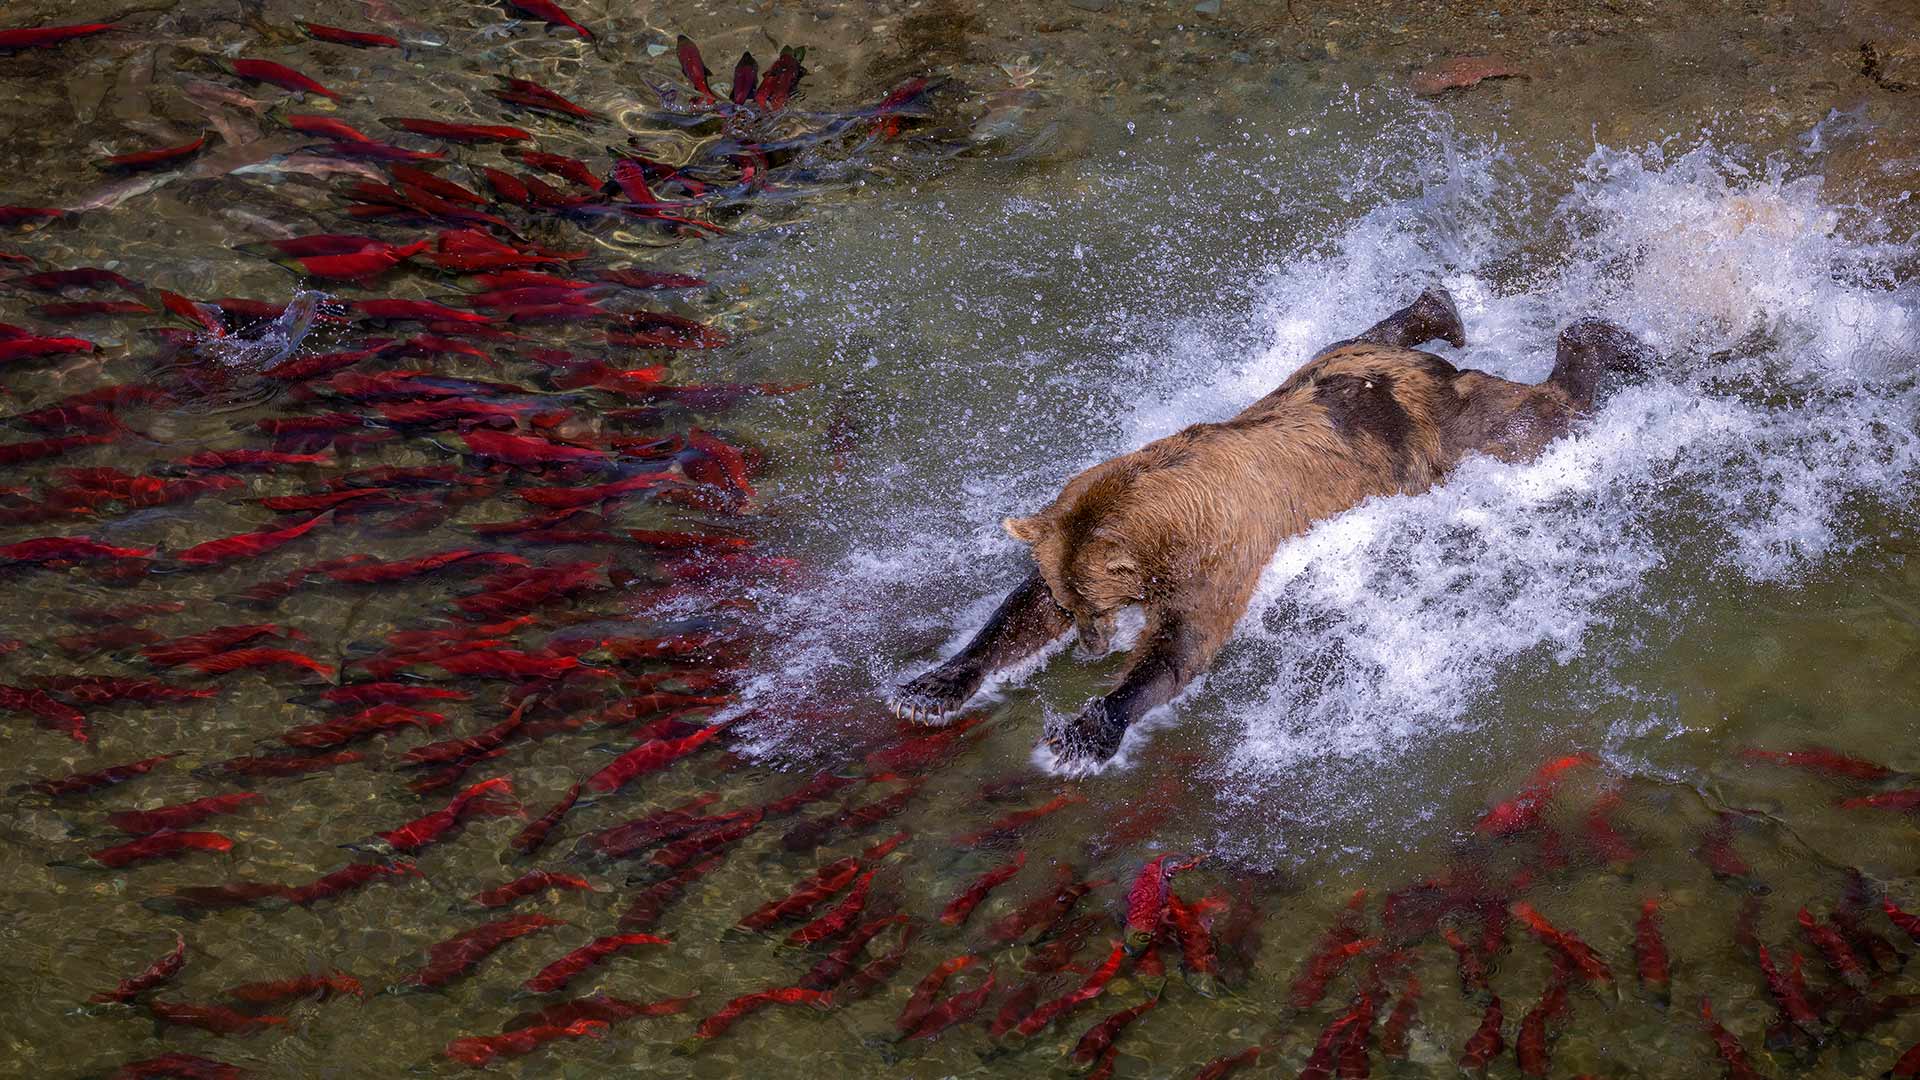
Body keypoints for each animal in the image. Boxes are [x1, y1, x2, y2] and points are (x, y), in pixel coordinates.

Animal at [887, 288, 1651, 768]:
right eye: (1075, 604)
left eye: (1096, 607)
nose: (1091, 648)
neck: (1166, 511)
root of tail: (1422, 372)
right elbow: (1019, 615)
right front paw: (929, 687)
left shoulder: (1220, 554)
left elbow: (1181, 646)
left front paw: (1085, 731)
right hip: (1329, 365)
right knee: (1368, 332)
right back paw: (1442, 308)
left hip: (1453, 432)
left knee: (1534, 417)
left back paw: (1611, 344)